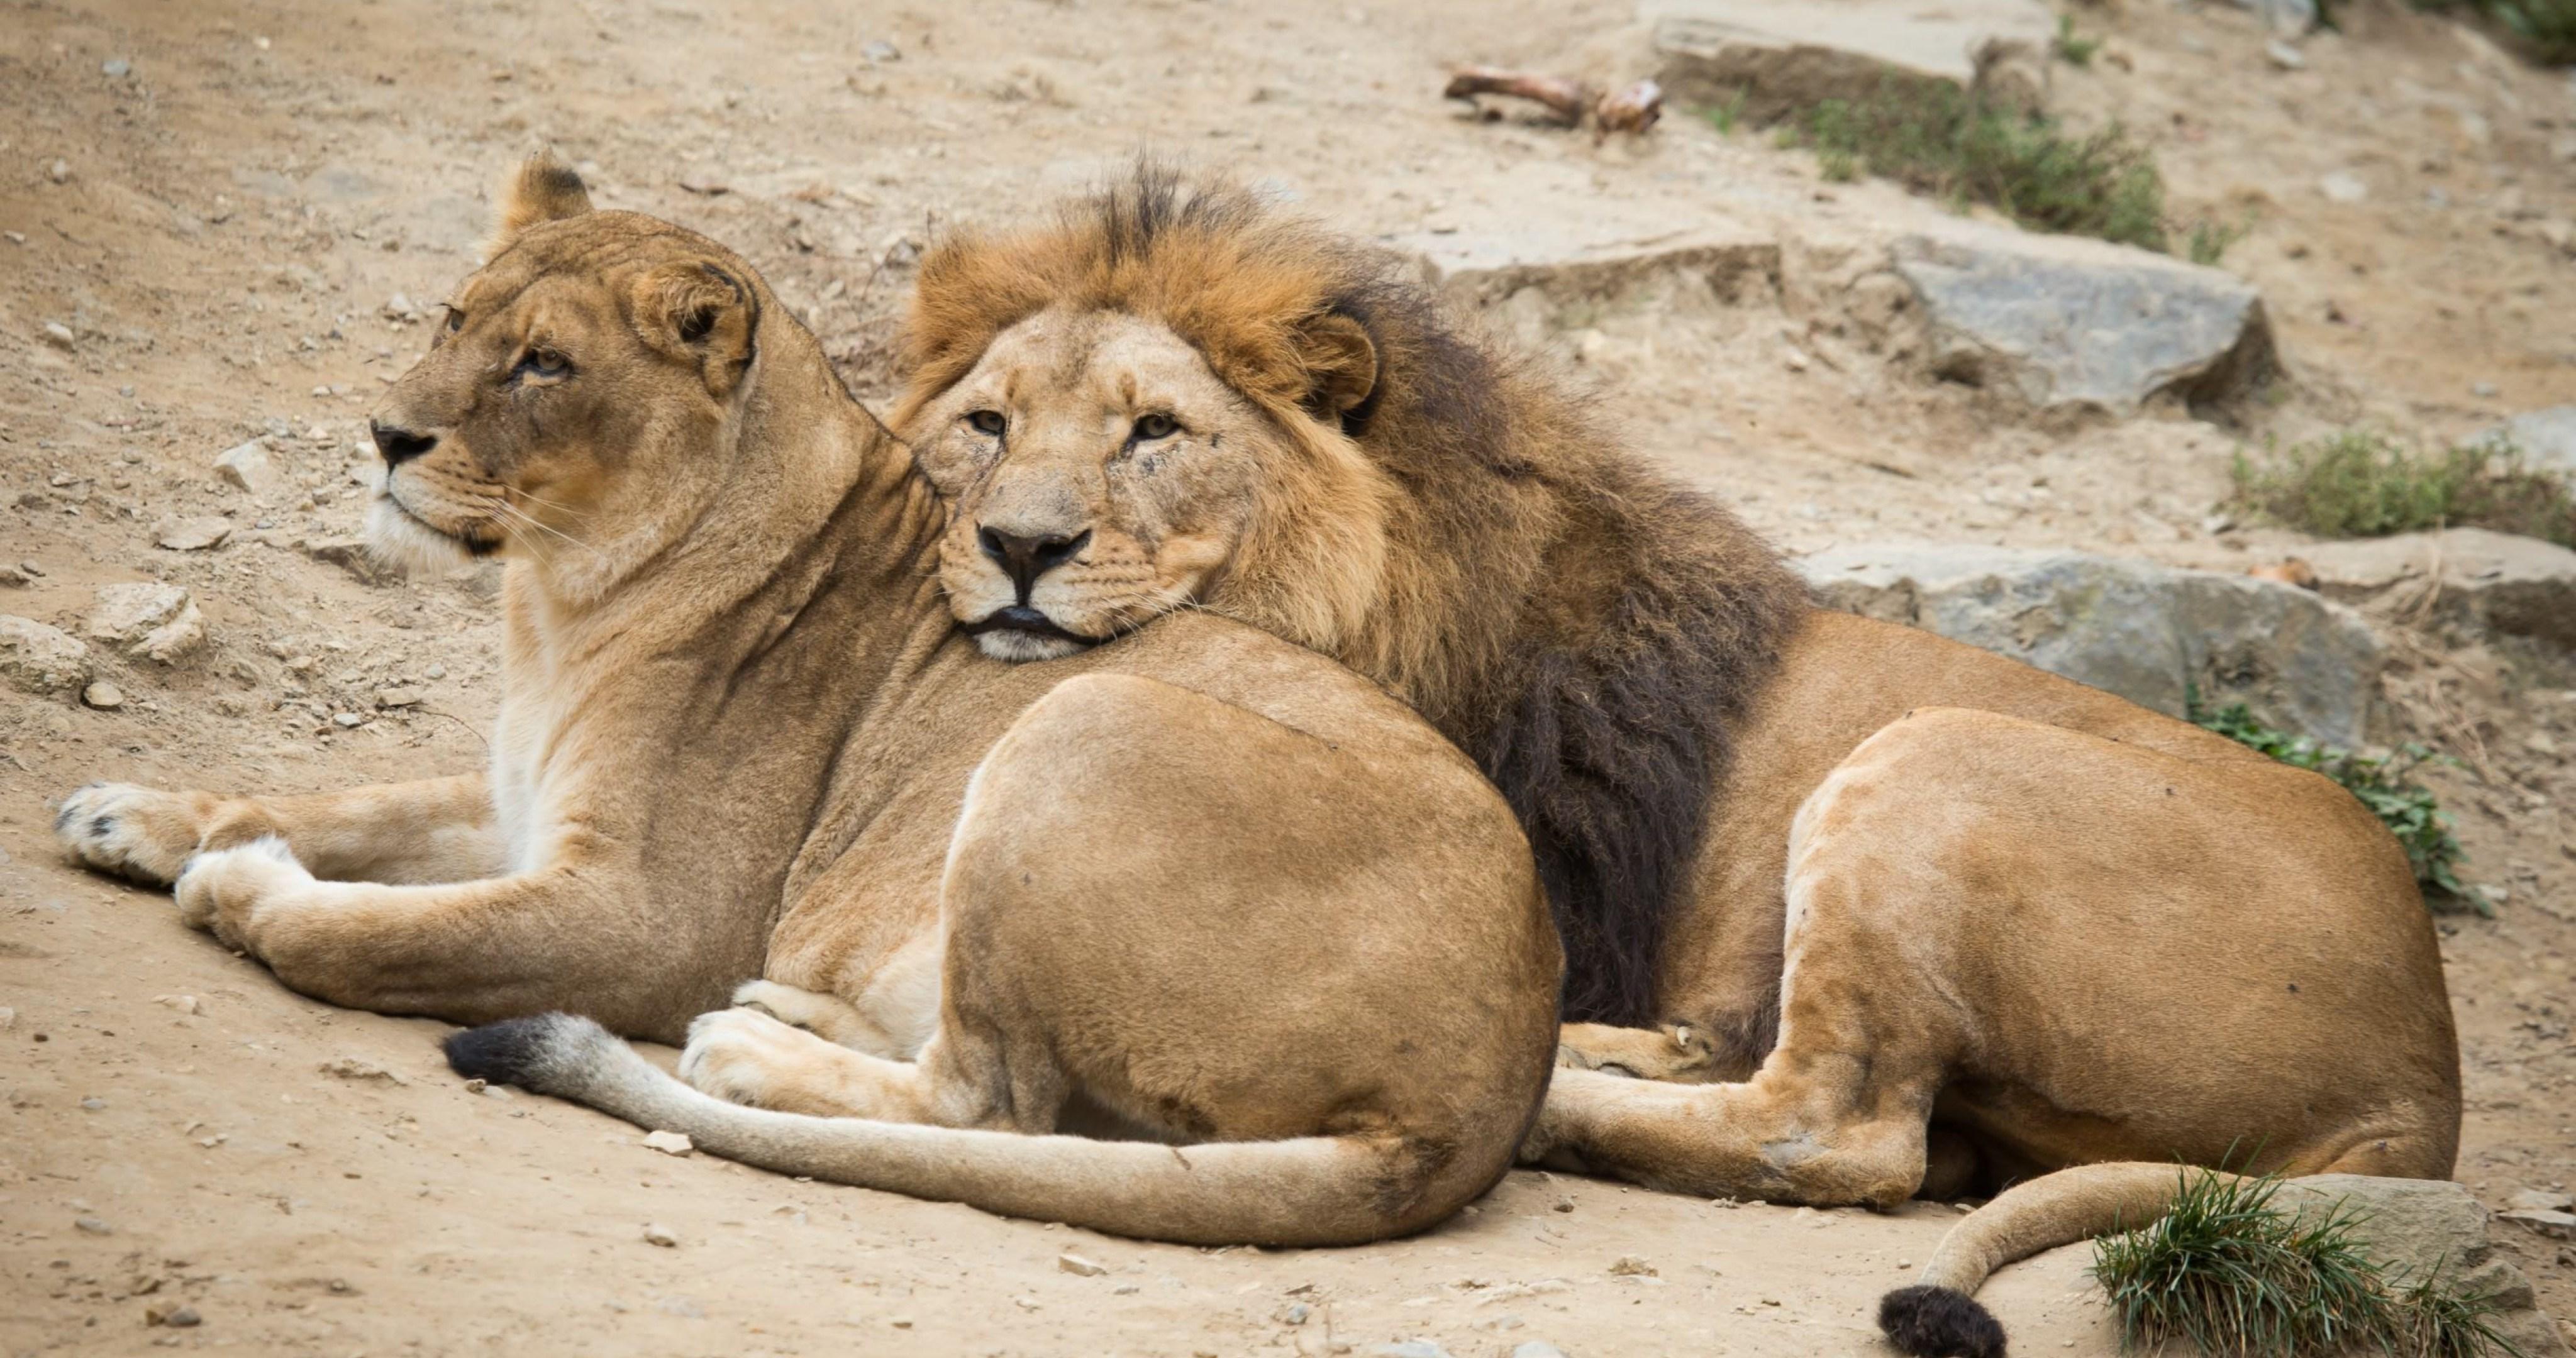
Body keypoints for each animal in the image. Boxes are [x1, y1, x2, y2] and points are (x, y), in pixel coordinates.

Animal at [52, 159, 1564, 1247]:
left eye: (544, 365)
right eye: (451, 321)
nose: (385, 436)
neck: (560, 602)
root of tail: (1483, 1096)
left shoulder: (651, 915)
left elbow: (383, 937)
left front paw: (248, 890)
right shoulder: (518, 804)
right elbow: (345, 802)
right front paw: (135, 814)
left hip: (1077, 728)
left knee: (999, 1108)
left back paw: (749, 1055)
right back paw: (787, 1015)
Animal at [891, 169, 2461, 1353]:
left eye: (1156, 432)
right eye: (984, 423)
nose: (1020, 547)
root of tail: (2425, 1079)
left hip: (1930, 757)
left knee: (1841, 1136)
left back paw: (1564, 1097)